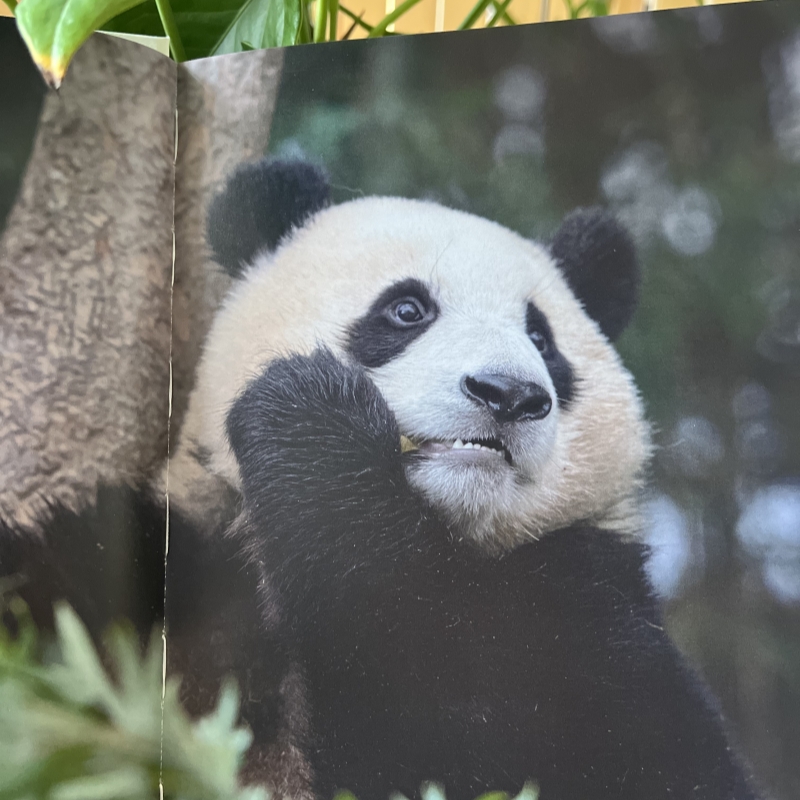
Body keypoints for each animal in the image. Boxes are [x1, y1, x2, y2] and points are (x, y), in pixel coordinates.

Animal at [1, 158, 764, 800]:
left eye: (543, 341)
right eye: (407, 310)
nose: (509, 394)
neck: (436, 527)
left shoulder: (588, 603)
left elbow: (456, 707)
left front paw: (310, 419)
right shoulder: (185, 567)